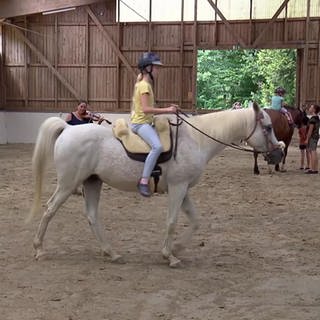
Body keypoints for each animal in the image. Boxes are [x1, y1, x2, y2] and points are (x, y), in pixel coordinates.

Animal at [30, 103, 284, 268]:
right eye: (268, 127)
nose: (278, 154)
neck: (197, 139)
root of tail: (68, 129)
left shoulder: (184, 189)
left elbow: (195, 221)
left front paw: (177, 248)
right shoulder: (178, 188)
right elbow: (172, 222)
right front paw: (169, 255)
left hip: (92, 182)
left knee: (92, 216)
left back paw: (112, 253)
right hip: (68, 184)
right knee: (49, 210)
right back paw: (39, 249)